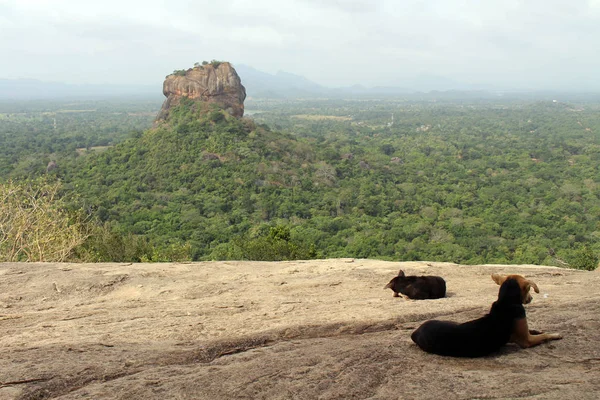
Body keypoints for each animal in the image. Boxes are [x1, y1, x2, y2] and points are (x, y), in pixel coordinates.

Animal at [410, 274, 560, 358]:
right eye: (529, 289)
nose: (532, 299)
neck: (506, 301)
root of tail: (415, 332)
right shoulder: (526, 340)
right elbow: (544, 336)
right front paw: (556, 335)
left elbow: (536, 331)